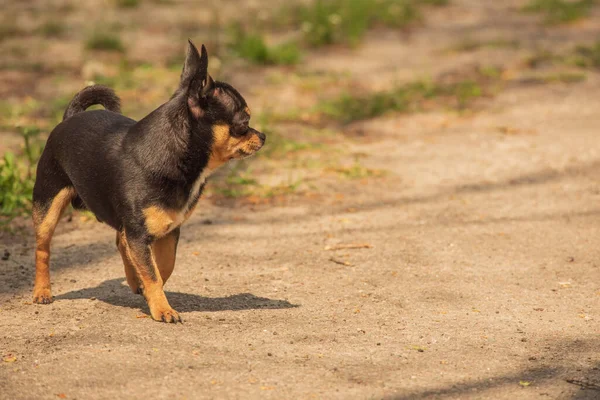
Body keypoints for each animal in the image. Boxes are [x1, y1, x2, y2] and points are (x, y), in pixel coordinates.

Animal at [31, 40, 266, 322]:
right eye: (243, 123)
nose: (263, 136)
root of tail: (70, 116)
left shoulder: (167, 231)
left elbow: (163, 267)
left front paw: (150, 293)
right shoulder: (139, 233)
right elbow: (152, 272)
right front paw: (163, 308)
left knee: (121, 241)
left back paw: (133, 281)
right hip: (47, 206)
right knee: (43, 249)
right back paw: (42, 291)